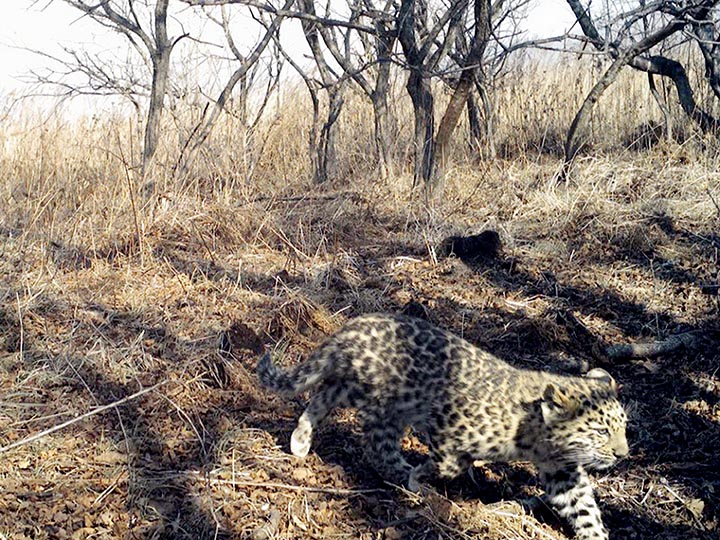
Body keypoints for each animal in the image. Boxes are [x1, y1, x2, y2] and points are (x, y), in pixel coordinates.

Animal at [256, 312, 628, 540]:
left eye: (623, 428)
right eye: (601, 432)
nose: (623, 455)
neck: (538, 437)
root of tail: (355, 324)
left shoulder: (562, 470)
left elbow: (583, 507)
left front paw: (596, 535)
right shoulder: (446, 420)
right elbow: (451, 462)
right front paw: (423, 476)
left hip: (362, 390)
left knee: (323, 394)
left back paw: (300, 441)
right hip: (387, 403)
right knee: (376, 447)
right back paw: (409, 481)